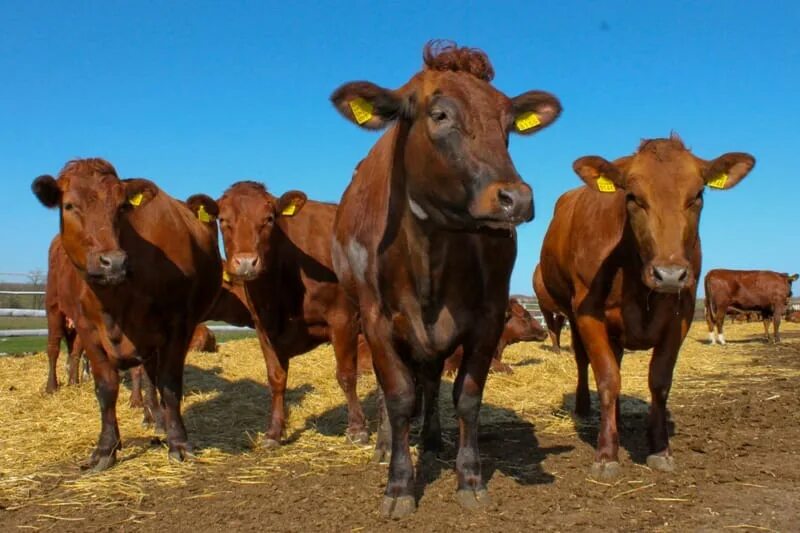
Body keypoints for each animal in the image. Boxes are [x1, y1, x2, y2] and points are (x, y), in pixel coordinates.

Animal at [32, 159, 222, 470]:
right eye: (69, 205)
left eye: (121, 207)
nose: (113, 262)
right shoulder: (87, 328)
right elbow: (106, 387)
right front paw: (105, 449)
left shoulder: (178, 325)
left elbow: (169, 384)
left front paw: (178, 442)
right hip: (53, 308)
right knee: (53, 348)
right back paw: (52, 387)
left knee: (150, 376)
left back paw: (158, 420)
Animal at [219, 181, 368, 446]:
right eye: (222, 220)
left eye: (268, 219)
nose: (246, 262)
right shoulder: (263, 328)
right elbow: (276, 379)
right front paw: (274, 433)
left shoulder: (343, 318)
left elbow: (346, 374)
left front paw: (357, 428)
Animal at [328, 41, 560, 516]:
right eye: (440, 115)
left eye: (508, 124)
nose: (516, 198)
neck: (429, 251)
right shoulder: (377, 318)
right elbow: (399, 396)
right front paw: (399, 484)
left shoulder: (487, 317)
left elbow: (467, 397)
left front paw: (469, 478)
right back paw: (384, 444)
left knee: (433, 379)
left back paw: (432, 438)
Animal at [536, 135, 756, 480]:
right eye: (633, 196)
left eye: (697, 195)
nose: (669, 274)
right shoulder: (588, 314)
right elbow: (608, 378)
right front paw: (606, 454)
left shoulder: (680, 316)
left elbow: (659, 381)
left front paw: (659, 447)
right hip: (570, 313)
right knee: (584, 361)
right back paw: (586, 408)